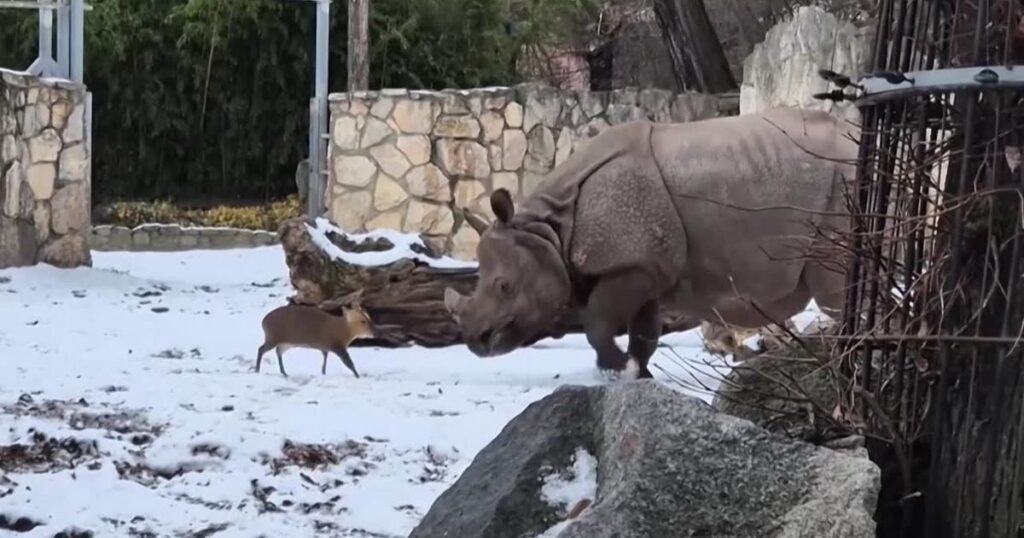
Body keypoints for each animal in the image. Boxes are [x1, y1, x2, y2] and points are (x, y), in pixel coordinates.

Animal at [444, 107, 860, 379]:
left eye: (504, 286)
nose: (475, 341)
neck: (550, 230)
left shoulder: (633, 262)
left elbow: (597, 320)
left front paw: (617, 368)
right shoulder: (648, 268)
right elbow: (644, 334)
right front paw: (638, 376)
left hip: (845, 186)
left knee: (835, 291)